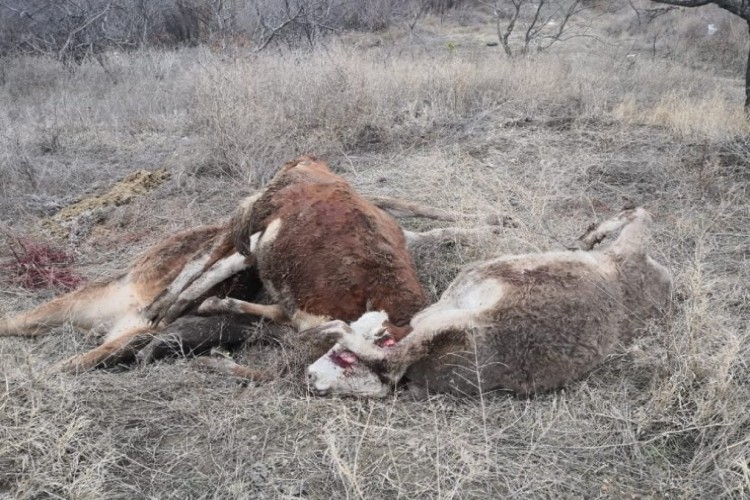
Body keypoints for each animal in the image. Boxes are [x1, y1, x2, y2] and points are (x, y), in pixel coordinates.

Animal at [308, 208, 672, 398]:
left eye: (345, 362)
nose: (311, 378)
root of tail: (662, 275)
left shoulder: (456, 325)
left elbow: (391, 358)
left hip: (627, 252)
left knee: (641, 215)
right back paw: (589, 237)